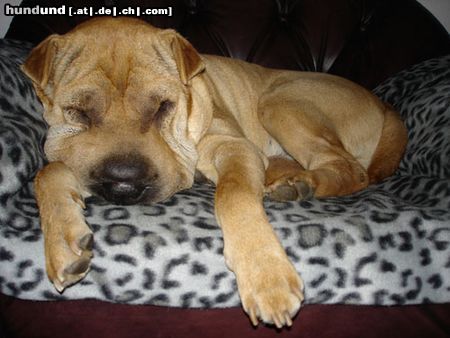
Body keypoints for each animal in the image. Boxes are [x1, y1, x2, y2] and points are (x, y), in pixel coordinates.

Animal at [22, 16, 408, 328]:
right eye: (78, 112)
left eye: (163, 106)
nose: (124, 183)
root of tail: (384, 104)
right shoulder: (77, 160)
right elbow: (49, 172)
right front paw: (64, 244)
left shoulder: (233, 146)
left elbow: (233, 194)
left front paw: (266, 276)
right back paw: (291, 180)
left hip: (280, 100)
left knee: (350, 169)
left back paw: (301, 184)